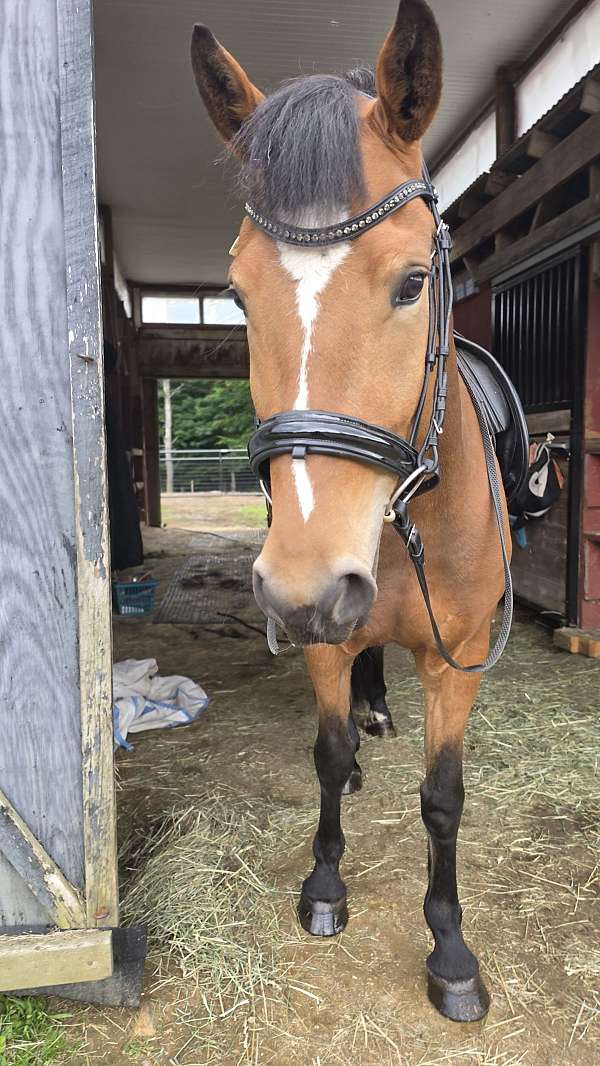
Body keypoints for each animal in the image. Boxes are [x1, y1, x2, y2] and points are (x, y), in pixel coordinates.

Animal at [191, 0, 514, 1022]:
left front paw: (451, 952)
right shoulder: (326, 639)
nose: (302, 589)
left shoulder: (458, 661)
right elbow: (326, 757)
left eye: (413, 282)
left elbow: (444, 799)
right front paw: (326, 885)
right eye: (238, 294)